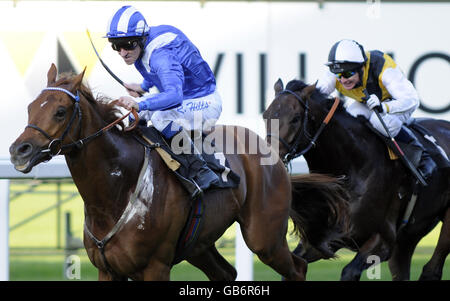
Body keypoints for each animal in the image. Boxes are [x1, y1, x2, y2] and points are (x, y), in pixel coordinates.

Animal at [9, 64, 348, 280]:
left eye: (60, 111)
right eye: (30, 108)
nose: (18, 150)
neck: (116, 191)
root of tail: (273, 153)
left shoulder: (156, 267)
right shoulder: (107, 269)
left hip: (264, 237)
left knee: (298, 268)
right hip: (199, 243)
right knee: (227, 274)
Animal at [264, 78, 450, 280]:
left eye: (296, 118)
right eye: (266, 116)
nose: (269, 157)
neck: (354, 166)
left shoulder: (383, 240)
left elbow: (349, 271)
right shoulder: (322, 240)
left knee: (432, 269)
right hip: (409, 237)